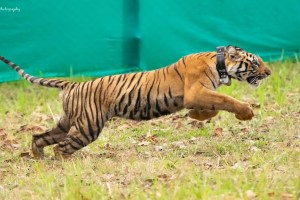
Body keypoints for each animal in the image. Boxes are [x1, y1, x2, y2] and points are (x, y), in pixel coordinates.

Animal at [0, 45, 272, 159]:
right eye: (257, 62)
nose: (269, 73)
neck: (220, 64)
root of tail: (73, 85)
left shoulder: (198, 95)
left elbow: (213, 109)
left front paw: (196, 116)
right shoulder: (196, 91)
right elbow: (226, 99)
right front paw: (246, 113)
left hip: (68, 122)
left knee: (39, 137)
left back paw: (37, 158)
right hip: (88, 126)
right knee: (61, 148)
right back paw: (64, 164)